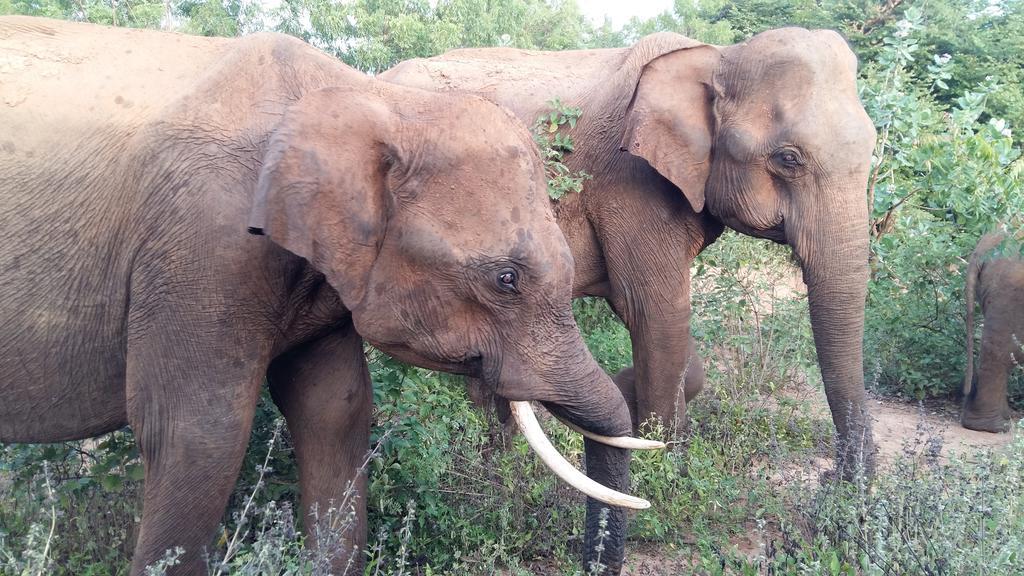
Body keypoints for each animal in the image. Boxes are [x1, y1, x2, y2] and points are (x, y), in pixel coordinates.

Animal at [385, 25, 880, 475]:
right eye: (788, 159)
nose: (838, 479)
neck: (718, 57)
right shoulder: (630, 181)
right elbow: (654, 312)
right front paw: (664, 467)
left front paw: (631, 405)